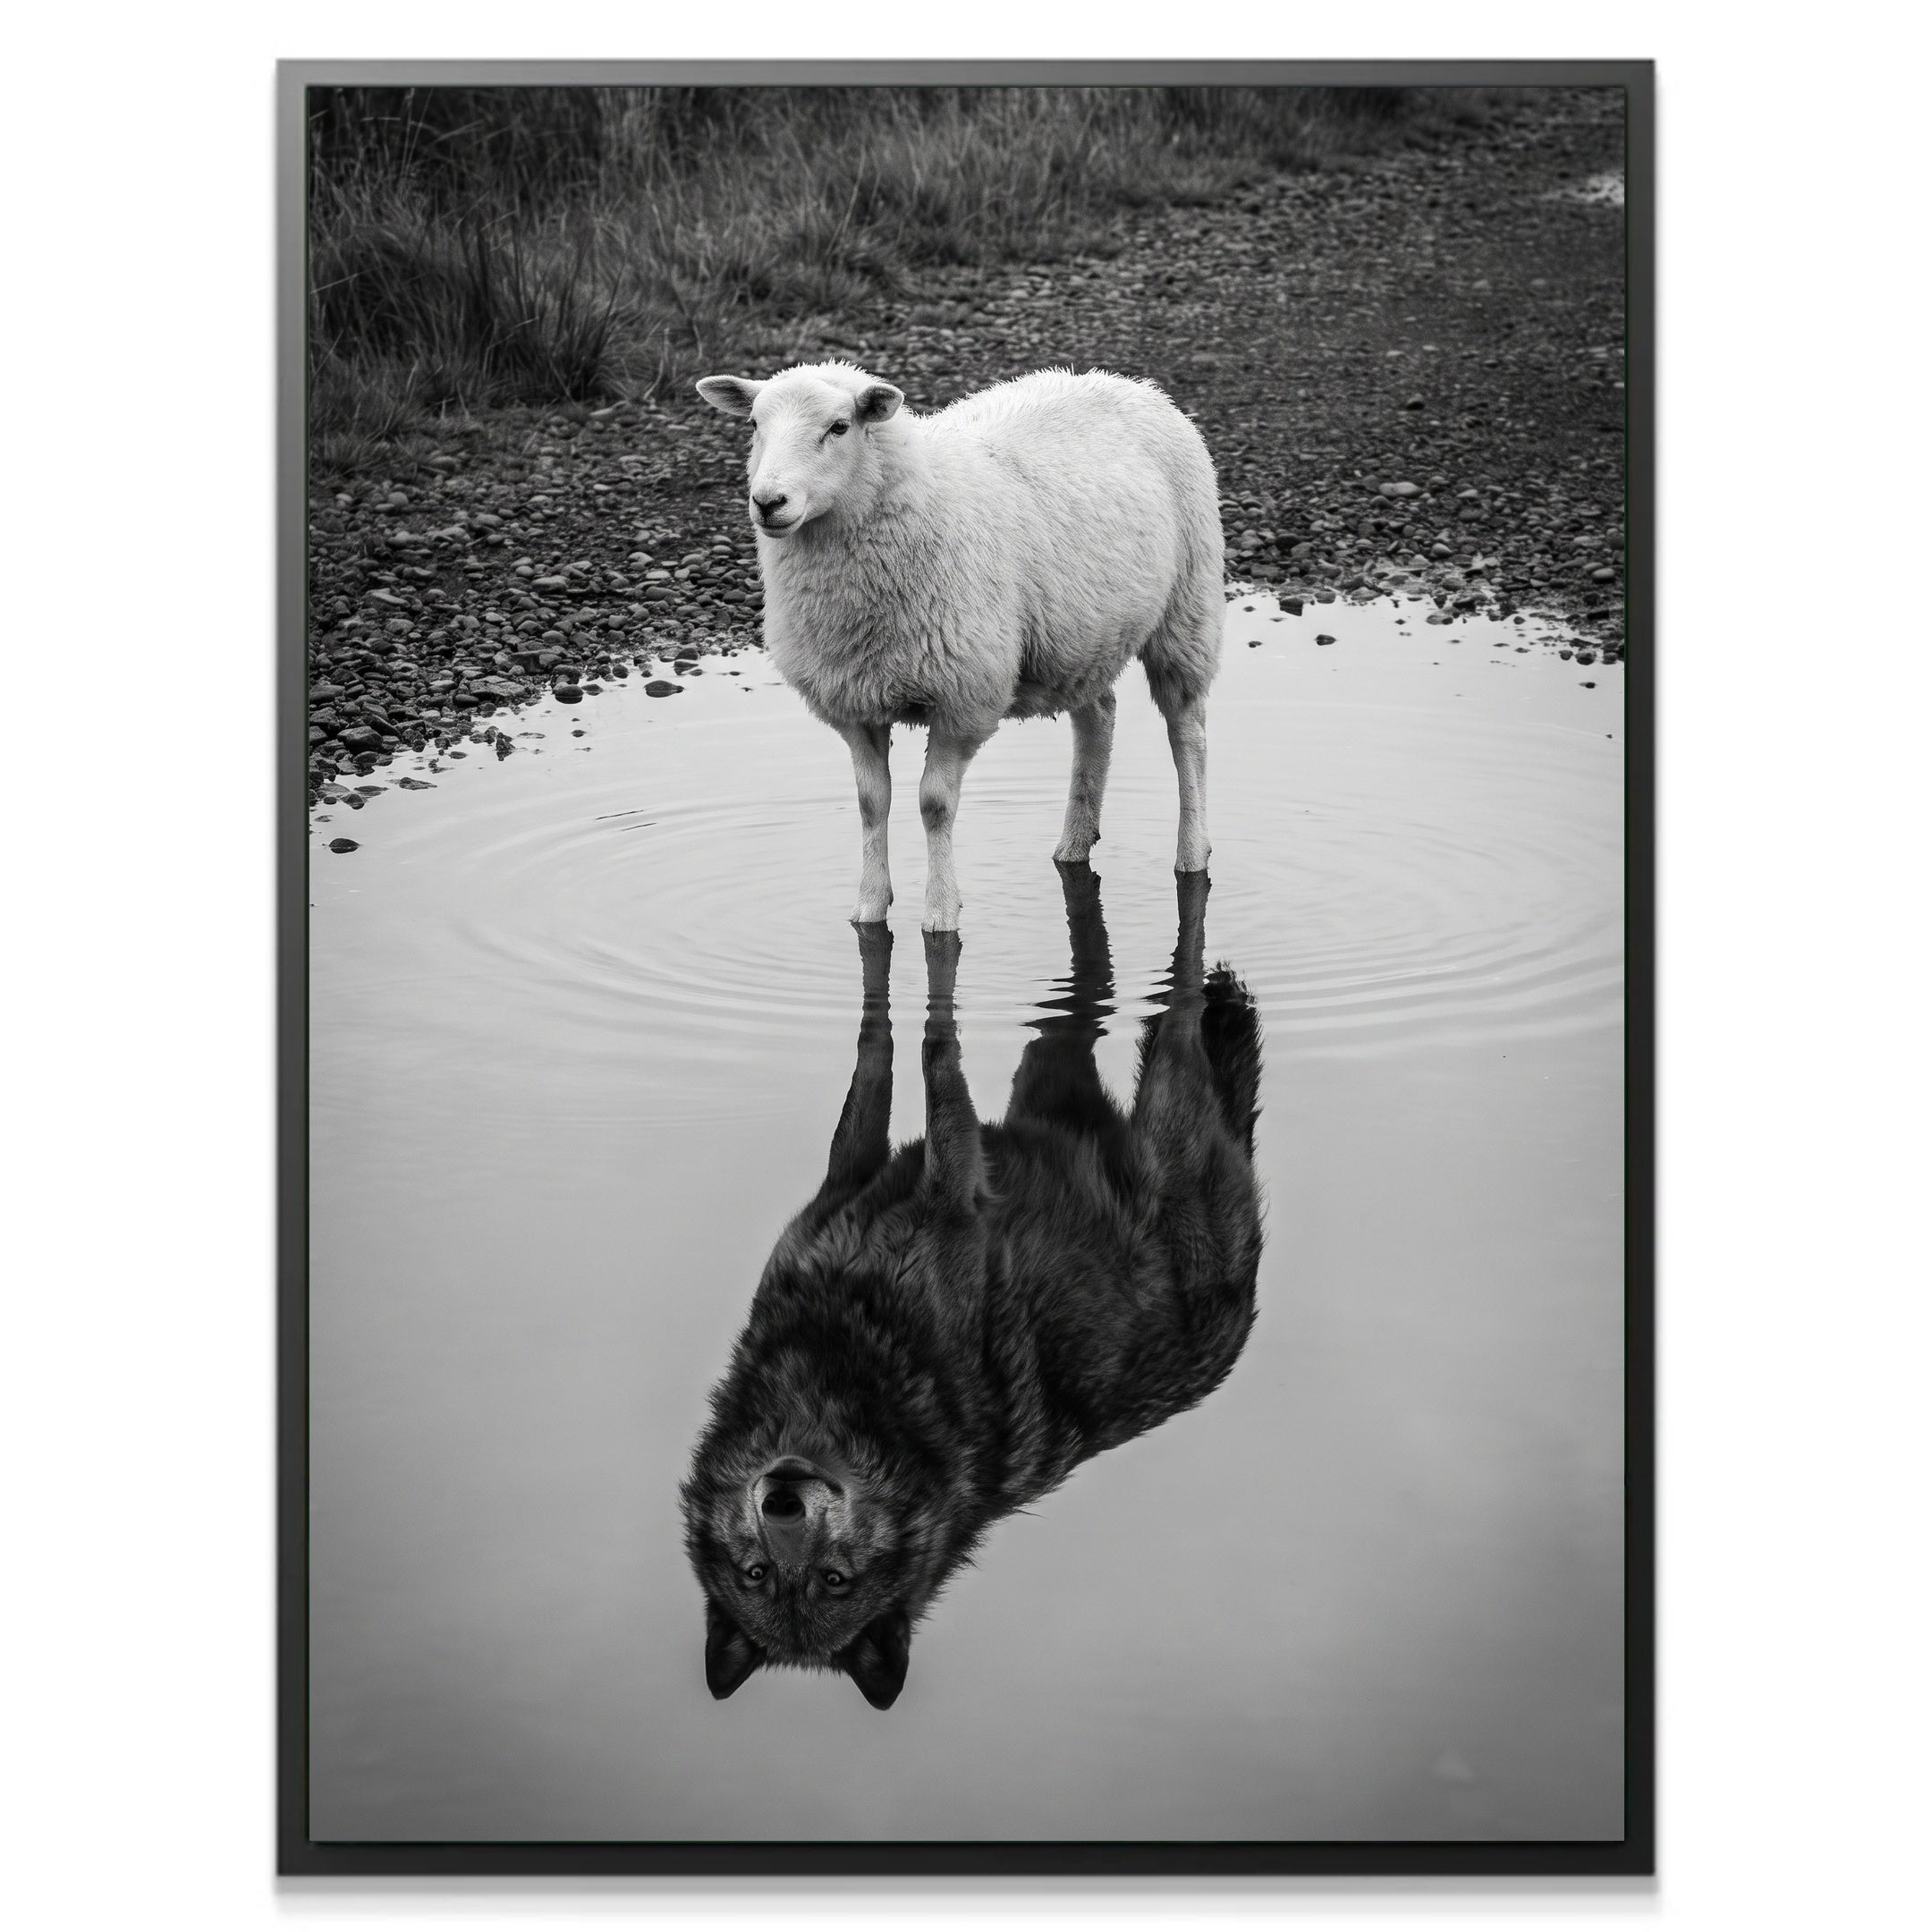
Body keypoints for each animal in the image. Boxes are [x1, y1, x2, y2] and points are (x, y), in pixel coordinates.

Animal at [680, 866, 1263, 1709]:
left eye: (833, 1580)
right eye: (758, 1574)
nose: (784, 1497)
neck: (838, 1365)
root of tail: (1244, 1315)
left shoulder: (950, 1185)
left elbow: (926, 1055)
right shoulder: (854, 1183)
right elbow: (879, 1054)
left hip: (1162, 1077)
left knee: (1179, 987)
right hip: (1047, 1064)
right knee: (1095, 996)